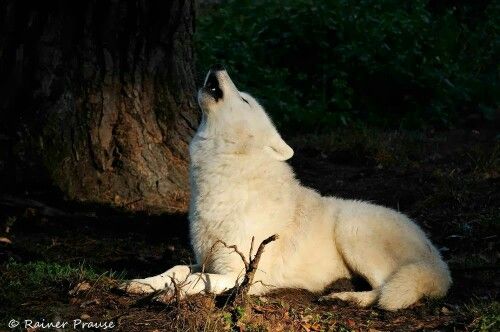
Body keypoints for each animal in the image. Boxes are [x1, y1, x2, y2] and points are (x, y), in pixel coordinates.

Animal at [123, 65, 452, 312]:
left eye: (245, 100)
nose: (218, 67)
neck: (227, 178)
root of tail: (437, 258)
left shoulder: (241, 274)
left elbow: (195, 282)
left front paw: (169, 294)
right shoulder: (205, 260)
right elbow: (176, 268)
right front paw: (143, 283)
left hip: (353, 230)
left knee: (385, 289)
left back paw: (347, 298)